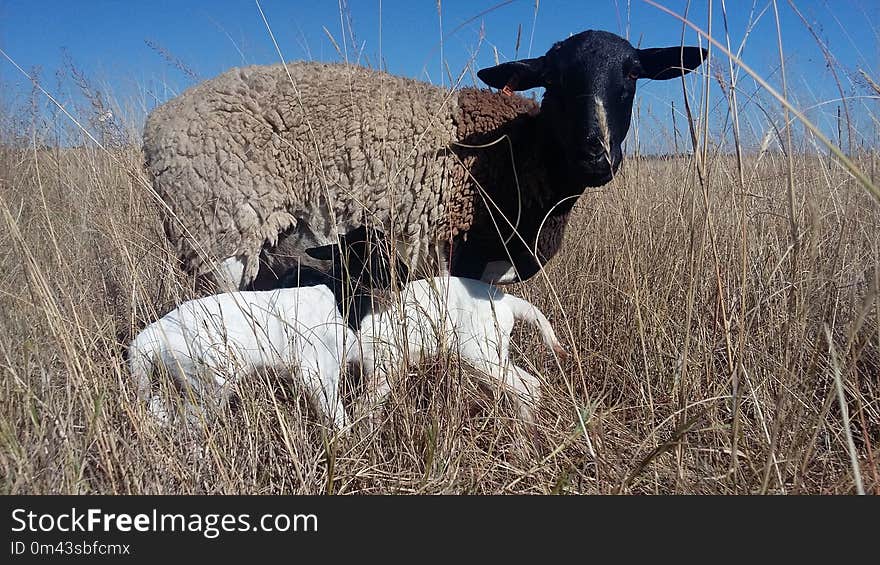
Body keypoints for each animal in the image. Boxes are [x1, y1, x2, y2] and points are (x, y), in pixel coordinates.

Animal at [144, 28, 708, 288]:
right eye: (554, 79)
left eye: (632, 75)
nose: (598, 156)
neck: (522, 149)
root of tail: (155, 129)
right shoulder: (462, 255)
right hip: (217, 231)